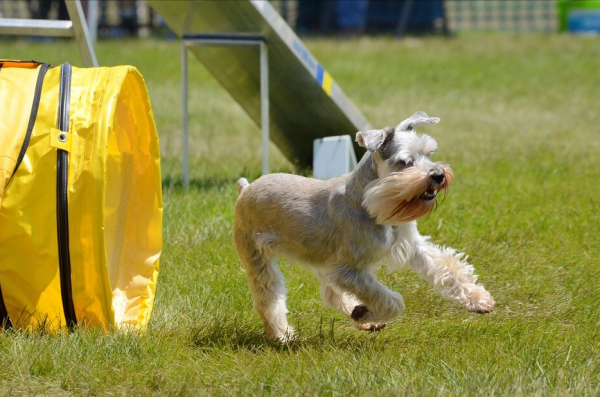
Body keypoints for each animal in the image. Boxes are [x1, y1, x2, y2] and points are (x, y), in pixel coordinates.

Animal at [232, 110, 494, 338]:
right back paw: (281, 335)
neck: (372, 204)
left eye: (428, 154)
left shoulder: (412, 246)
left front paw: (479, 299)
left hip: (320, 261)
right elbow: (391, 301)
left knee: (331, 295)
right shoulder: (349, 271)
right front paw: (366, 312)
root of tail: (245, 189)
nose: (438, 175)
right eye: (405, 161)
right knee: (269, 299)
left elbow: (447, 268)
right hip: (258, 259)